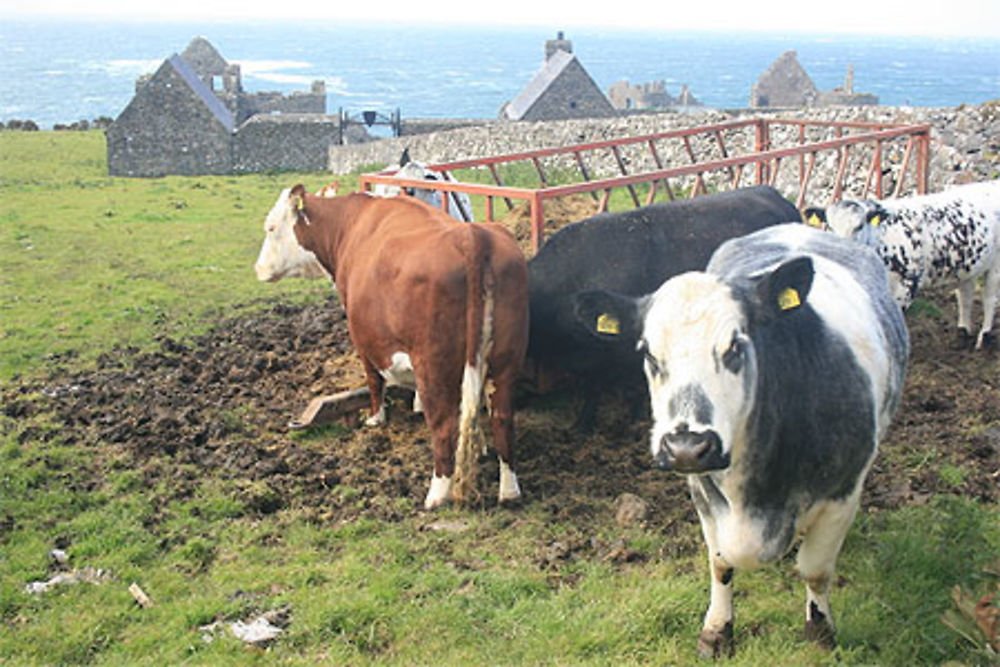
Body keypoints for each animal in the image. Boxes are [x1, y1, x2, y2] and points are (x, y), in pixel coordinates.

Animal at [254, 185, 528, 508]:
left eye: (271, 227)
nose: (258, 268)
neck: (349, 227)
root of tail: (471, 235)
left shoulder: (363, 337)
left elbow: (374, 380)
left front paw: (375, 419)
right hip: (506, 362)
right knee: (502, 420)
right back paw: (509, 491)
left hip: (433, 365)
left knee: (444, 426)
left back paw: (437, 495)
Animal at [572, 224, 908, 656]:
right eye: (648, 354)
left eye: (735, 345)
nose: (686, 447)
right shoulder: (702, 492)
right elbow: (720, 563)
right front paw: (717, 631)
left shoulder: (841, 493)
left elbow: (815, 571)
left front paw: (820, 634)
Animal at [804, 180, 1000, 352]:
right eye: (829, 227)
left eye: (859, 226)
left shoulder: (909, 281)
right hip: (969, 264)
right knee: (966, 294)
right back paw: (962, 333)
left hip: (996, 264)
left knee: (989, 296)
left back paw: (984, 336)